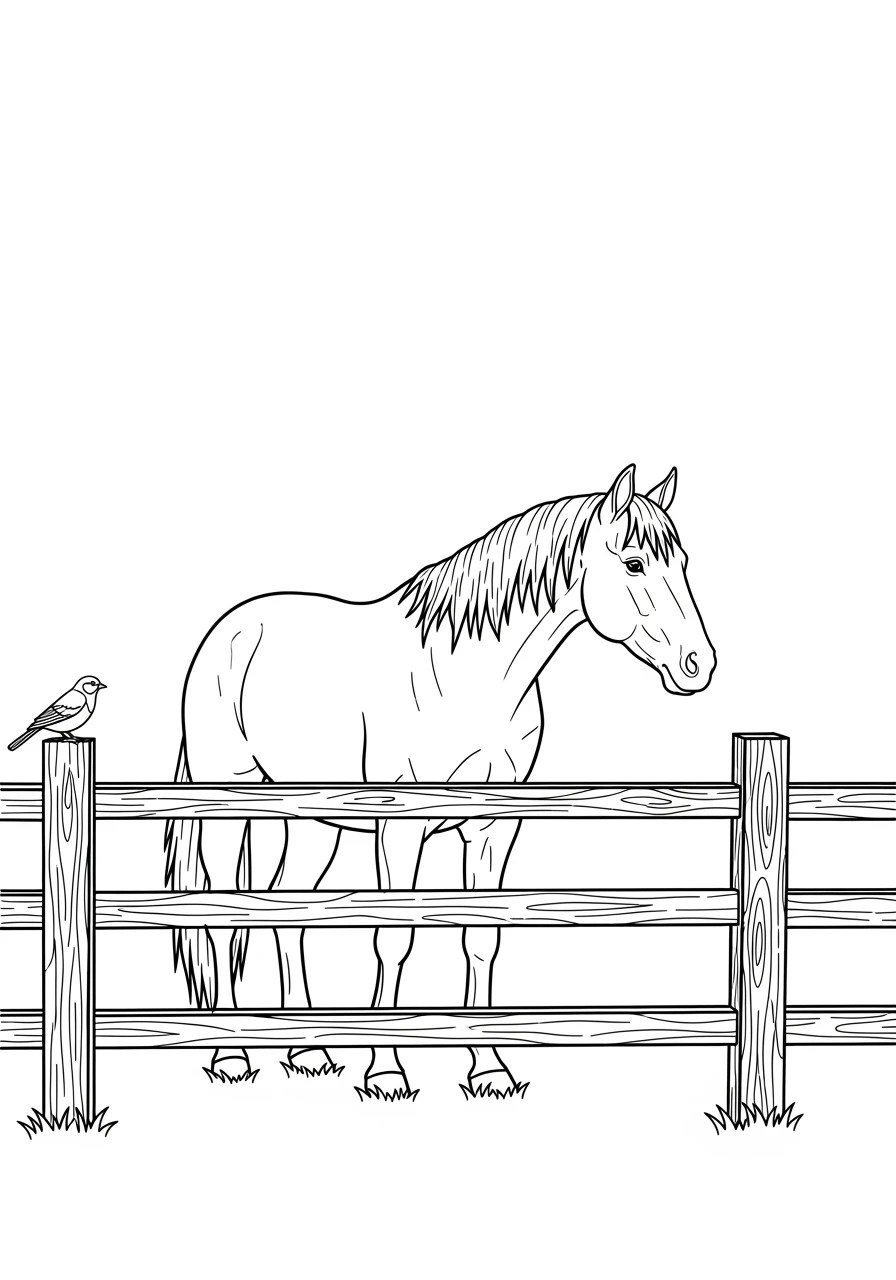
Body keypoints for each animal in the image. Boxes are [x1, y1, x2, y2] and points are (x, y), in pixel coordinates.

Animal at [165, 462, 716, 1097]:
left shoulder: (493, 825)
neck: (472, 683)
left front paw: (491, 1068)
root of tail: (230, 630)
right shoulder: (400, 825)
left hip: (311, 818)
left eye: (684, 563)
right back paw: (231, 1056)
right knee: (220, 911)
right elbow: (393, 937)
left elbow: (482, 936)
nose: (699, 666)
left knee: (288, 909)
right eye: (633, 563)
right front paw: (386, 1070)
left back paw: (309, 1051)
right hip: (226, 800)